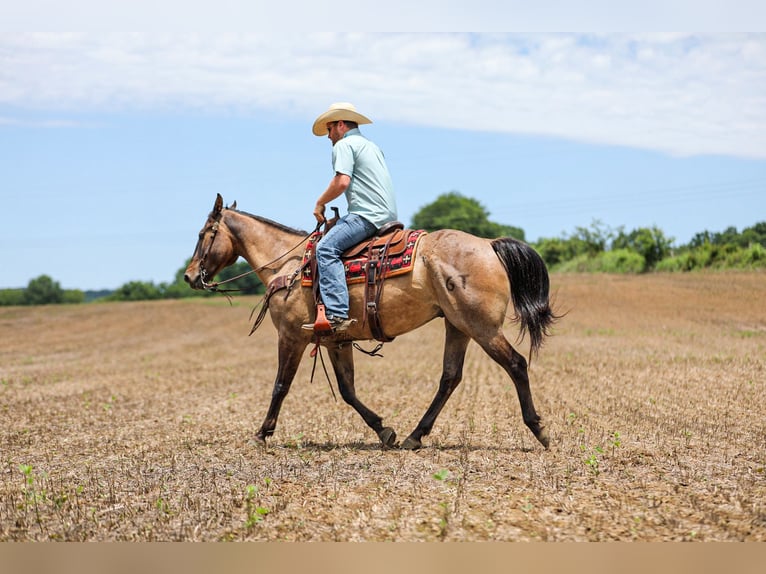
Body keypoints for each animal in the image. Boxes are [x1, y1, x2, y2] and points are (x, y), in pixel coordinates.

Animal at [184, 194, 557, 450]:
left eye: (204, 233)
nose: (189, 276)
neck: (288, 265)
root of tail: (490, 245)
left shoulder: (291, 336)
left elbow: (280, 386)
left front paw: (262, 433)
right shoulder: (336, 341)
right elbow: (348, 390)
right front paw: (383, 430)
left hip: (482, 328)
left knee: (516, 364)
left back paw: (539, 429)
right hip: (458, 326)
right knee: (450, 378)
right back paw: (414, 435)